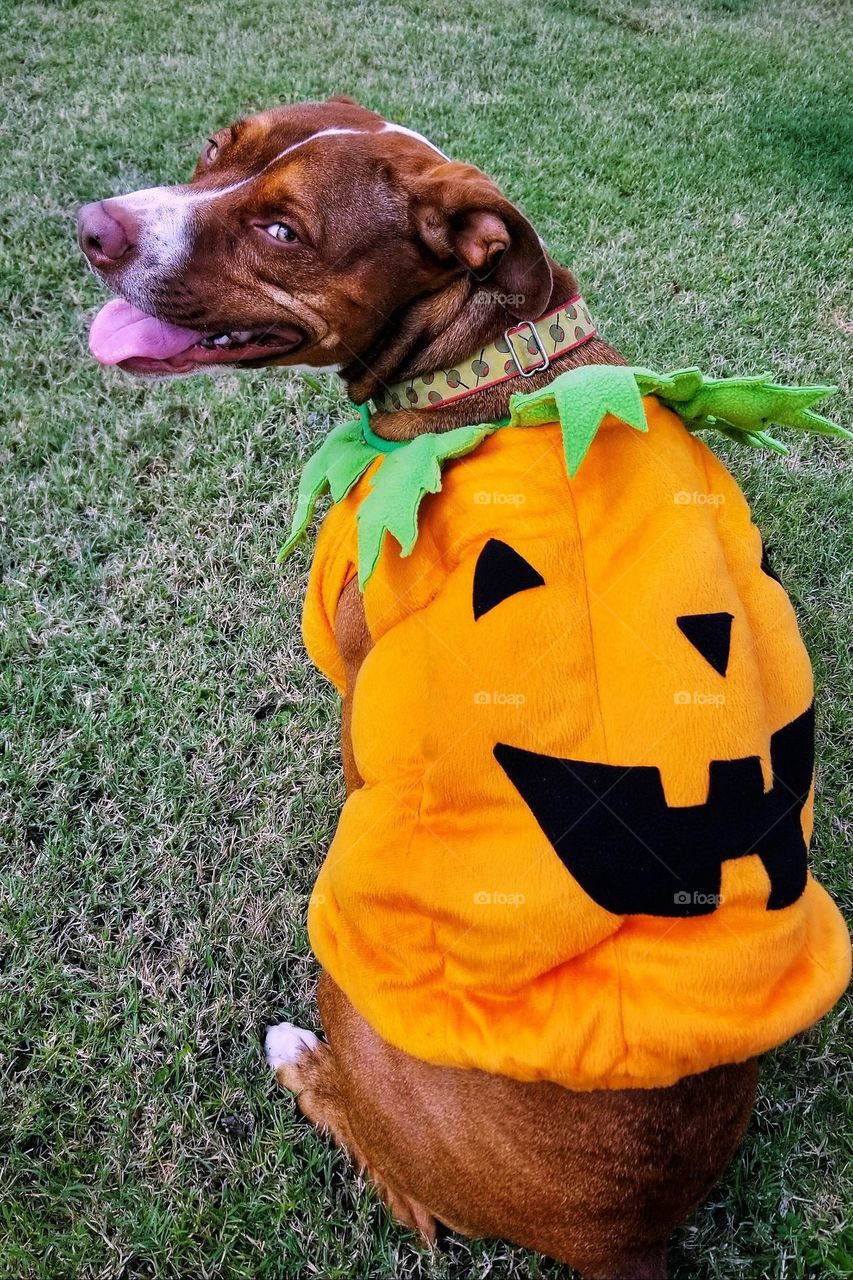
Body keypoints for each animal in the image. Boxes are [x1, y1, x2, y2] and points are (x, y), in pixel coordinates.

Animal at [78, 94, 845, 1274]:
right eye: (219, 148)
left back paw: (299, 1055)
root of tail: (622, 1234)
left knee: (407, 1195)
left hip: (350, 985)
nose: (91, 228)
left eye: (283, 233)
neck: (486, 356)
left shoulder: (356, 666)